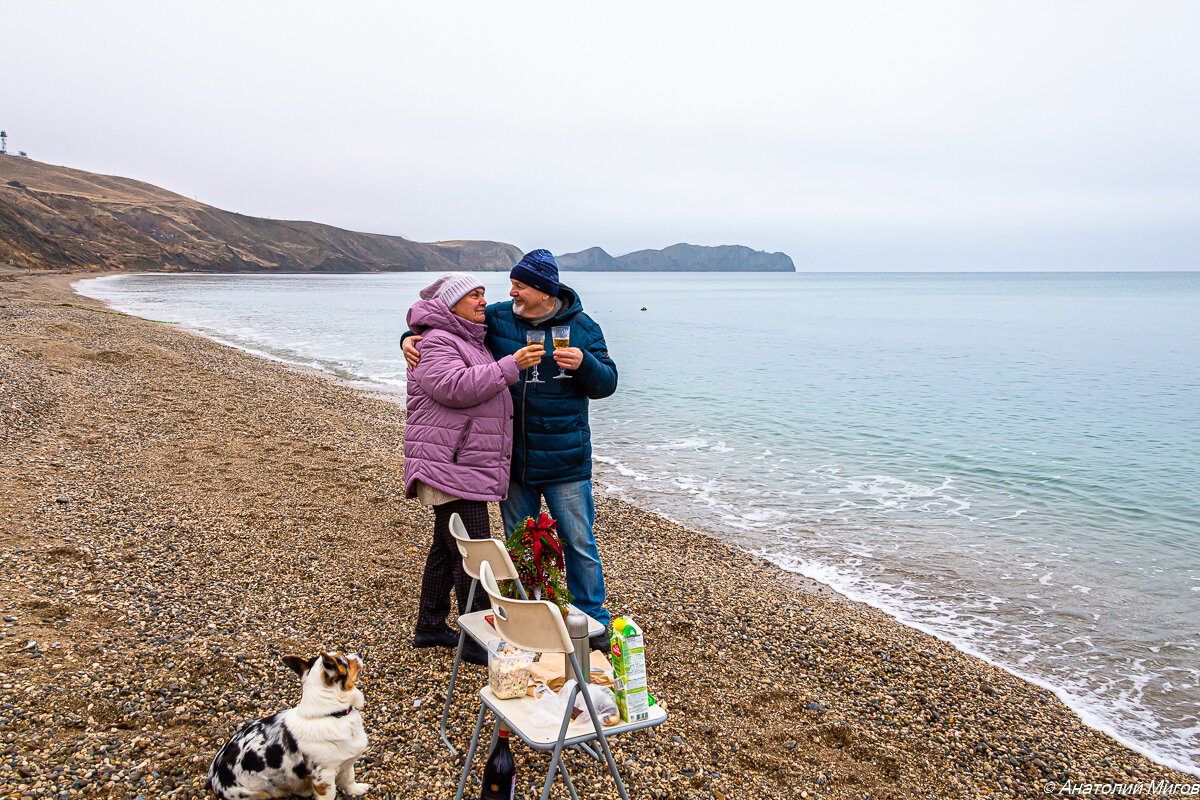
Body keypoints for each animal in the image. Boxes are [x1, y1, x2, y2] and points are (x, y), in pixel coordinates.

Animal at [208, 652, 369, 800]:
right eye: (345, 660)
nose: (359, 653)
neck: (331, 714)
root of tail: (213, 777)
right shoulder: (324, 777)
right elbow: (330, 794)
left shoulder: (347, 763)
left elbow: (349, 780)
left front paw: (357, 790)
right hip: (254, 793)